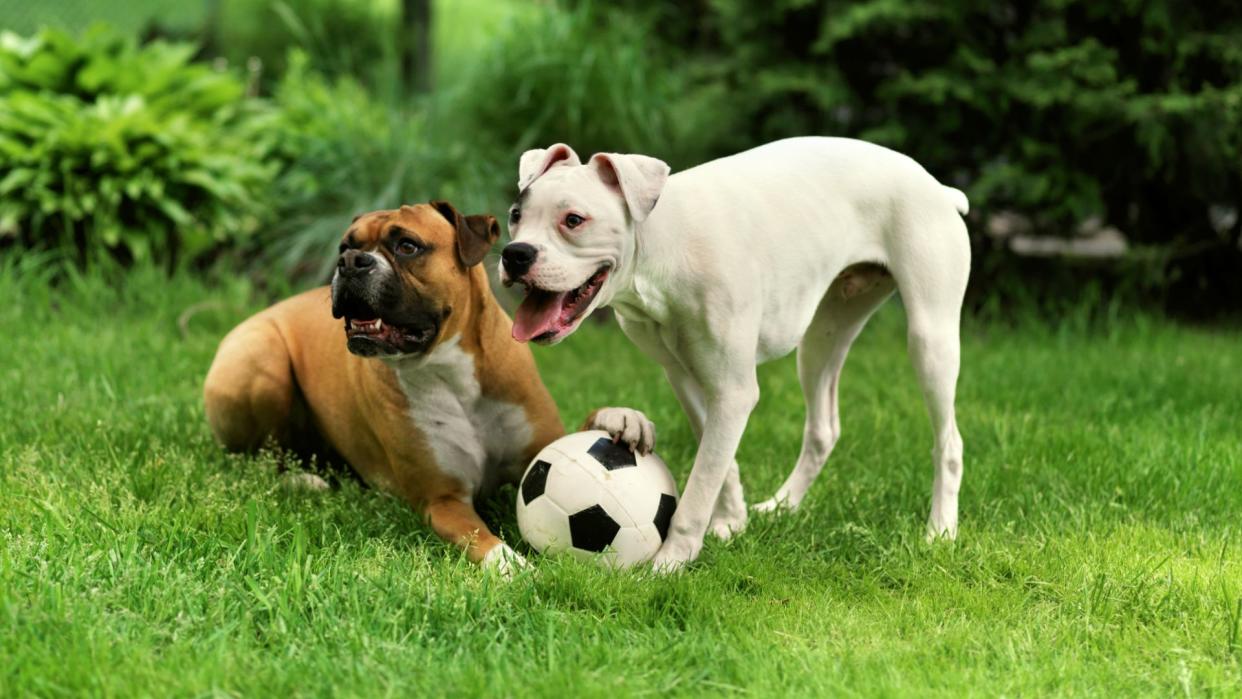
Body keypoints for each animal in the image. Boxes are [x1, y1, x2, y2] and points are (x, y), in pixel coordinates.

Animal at [203, 201, 563, 573]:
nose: (350, 261)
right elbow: (484, 539)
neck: (452, 373)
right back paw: (302, 480)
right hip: (262, 359)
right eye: (344, 247)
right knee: (259, 459)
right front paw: (516, 568)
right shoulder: (443, 500)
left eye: (407, 246)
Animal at [499, 138, 963, 573]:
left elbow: (699, 486)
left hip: (930, 341)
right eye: (516, 215)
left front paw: (670, 563)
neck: (666, 248)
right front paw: (732, 521)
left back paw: (940, 531)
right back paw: (781, 506)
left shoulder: (732, 390)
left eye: (574, 220)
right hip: (821, 341)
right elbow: (720, 462)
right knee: (823, 429)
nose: (515, 254)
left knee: (949, 443)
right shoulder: (687, 380)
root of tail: (940, 189)